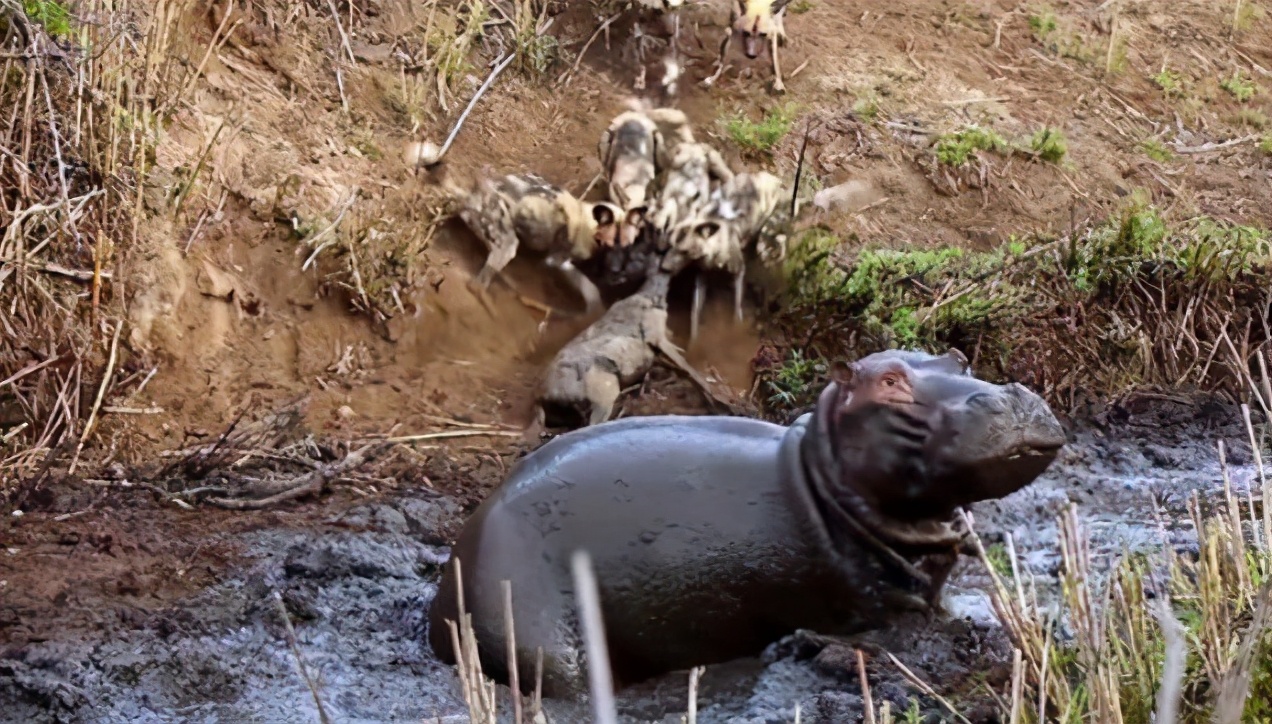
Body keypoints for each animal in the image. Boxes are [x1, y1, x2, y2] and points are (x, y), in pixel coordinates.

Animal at [424, 346, 1063, 697]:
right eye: (889, 380)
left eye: (959, 359)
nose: (1010, 396)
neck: (820, 475)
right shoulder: (871, 607)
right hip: (540, 641)